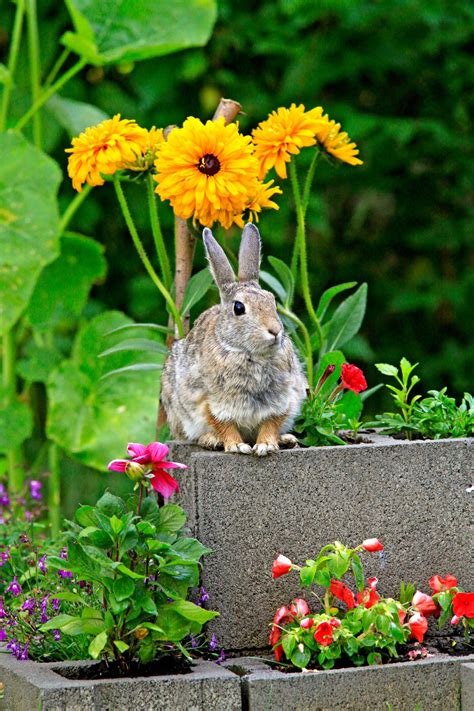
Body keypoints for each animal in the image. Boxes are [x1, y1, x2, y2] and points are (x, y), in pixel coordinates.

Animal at [160, 223, 307, 455]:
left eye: (272, 301)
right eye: (239, 308)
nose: (275, 331)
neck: (248, 353)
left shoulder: (283, 400)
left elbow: (270, 423)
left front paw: (265, 445)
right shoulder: (209, 402)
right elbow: (223, 424)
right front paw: (237, 446)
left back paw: (286, 439)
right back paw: (211, 440)